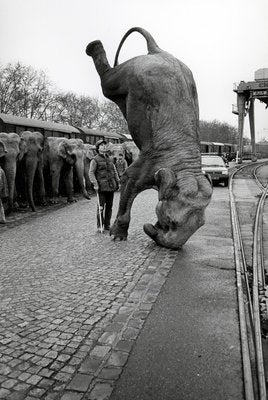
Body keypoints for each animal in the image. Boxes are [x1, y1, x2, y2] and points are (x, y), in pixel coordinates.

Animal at [87, 26, 213, 248]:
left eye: (201, 225)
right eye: (171, 221)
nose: (170, 245)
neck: (186, 166)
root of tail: (157, 50)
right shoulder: (148, 161)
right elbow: (128, 180)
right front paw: (117, 236)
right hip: (125, 74)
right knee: (107, 82)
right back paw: (93, 46)